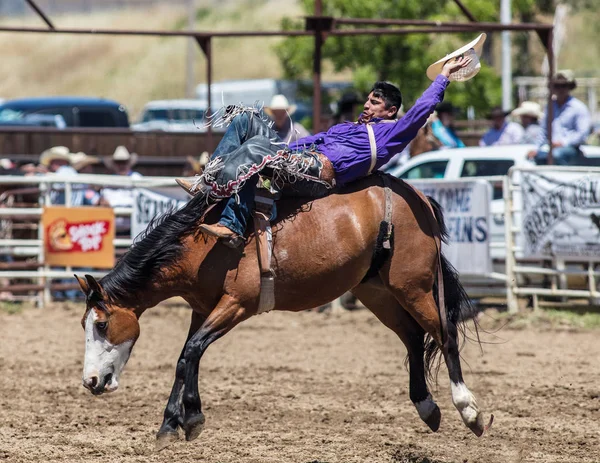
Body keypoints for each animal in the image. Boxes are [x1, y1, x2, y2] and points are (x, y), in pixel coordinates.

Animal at [76, 175, 488, 450]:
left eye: (102, 324)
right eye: (85, 324)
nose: (91, 381)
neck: (203, 242)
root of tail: (418, 196)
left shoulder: (236, 305)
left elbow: (190, 353)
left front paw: (191, 418)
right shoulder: (202, 309)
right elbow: (185, 357)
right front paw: (169, 426)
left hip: (412, 285)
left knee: (445, 334)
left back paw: (469, 411)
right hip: (376, 290)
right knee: (414, 337)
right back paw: (427, 407)